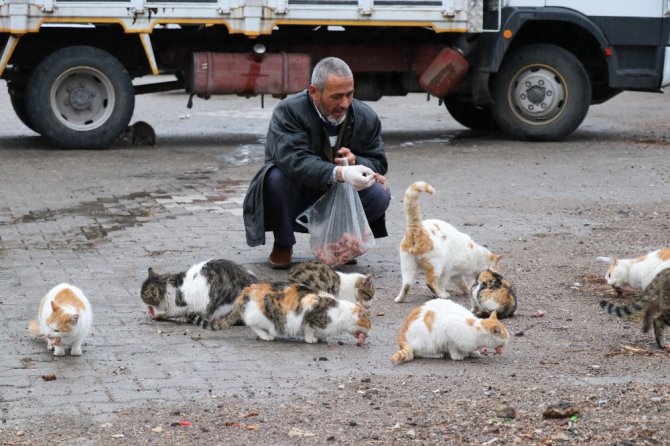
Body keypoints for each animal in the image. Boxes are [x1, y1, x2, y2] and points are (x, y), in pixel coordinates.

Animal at [226, 282, 372, 344]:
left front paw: (322, 337)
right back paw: (266, 336)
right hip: (262, 316)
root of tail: (245, 292)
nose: (370, 334)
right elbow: (309, 329)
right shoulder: (310, 315)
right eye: (369, 325)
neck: (340, 313)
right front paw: (311, 339)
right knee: (251, 324)